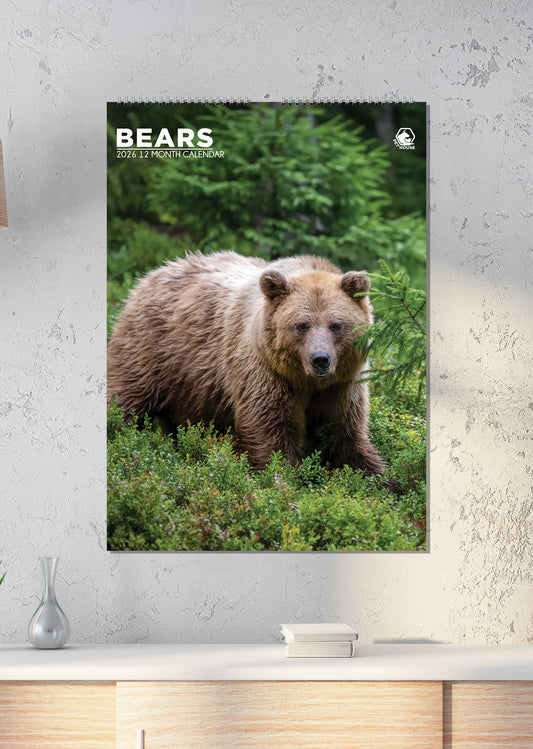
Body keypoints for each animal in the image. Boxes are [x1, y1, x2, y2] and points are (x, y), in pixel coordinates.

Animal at [107, 250, 386, 477]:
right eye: (301, 325)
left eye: (336, 325)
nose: (320, 359)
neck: (305, 382)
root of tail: (153, 273)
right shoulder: (264, 373)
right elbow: (270, 429)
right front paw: (280, 477)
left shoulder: (342, 386)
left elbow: (344, 434)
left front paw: (379, 476)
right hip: (153, 351)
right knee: (126, 393)